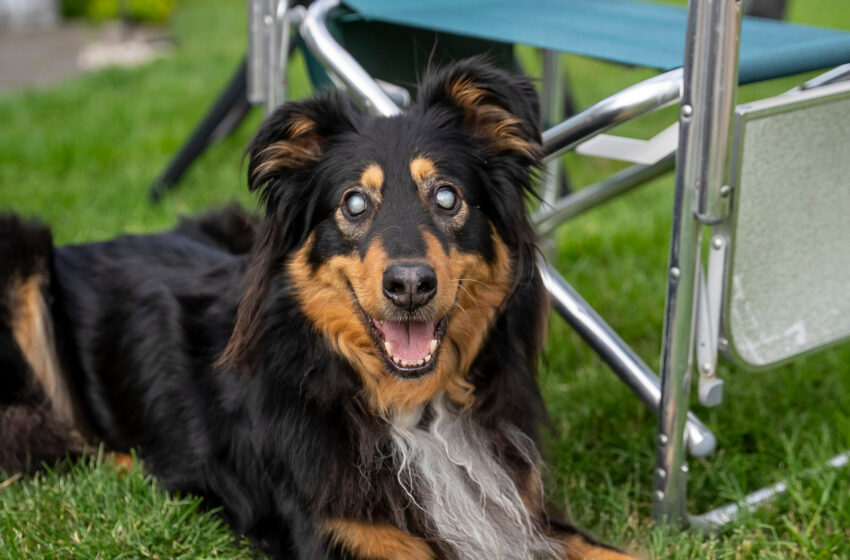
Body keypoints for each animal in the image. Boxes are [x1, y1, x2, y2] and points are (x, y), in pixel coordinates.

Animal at [0, 59, 628, 556]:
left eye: (448, 196)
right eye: (353, 203)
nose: (409, 286)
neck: (409, 409)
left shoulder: (520, 511)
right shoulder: (338, 534)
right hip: (20, 260)